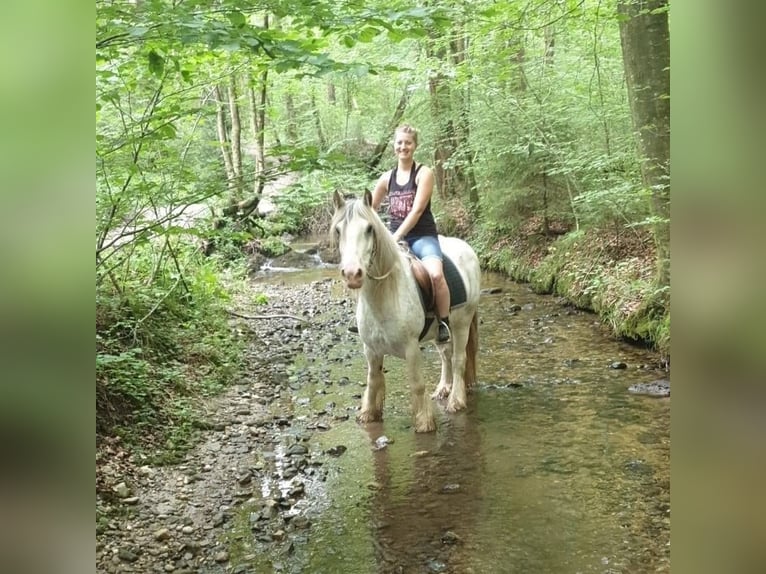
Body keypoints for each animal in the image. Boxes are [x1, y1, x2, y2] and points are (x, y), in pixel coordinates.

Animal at [330, 191, 480, 434]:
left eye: (369, 228)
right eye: (338, 229)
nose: (352, 274)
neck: (384, 296)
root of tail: (467, 248)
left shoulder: (411, 348)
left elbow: (417, 384)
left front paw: (424, 423)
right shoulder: (371, 349)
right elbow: (373, 380)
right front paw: (368, 415)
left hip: (462, 322)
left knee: (459, 359)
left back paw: (456, 401)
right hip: (441, 330)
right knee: (446, 355)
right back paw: (443, 389)